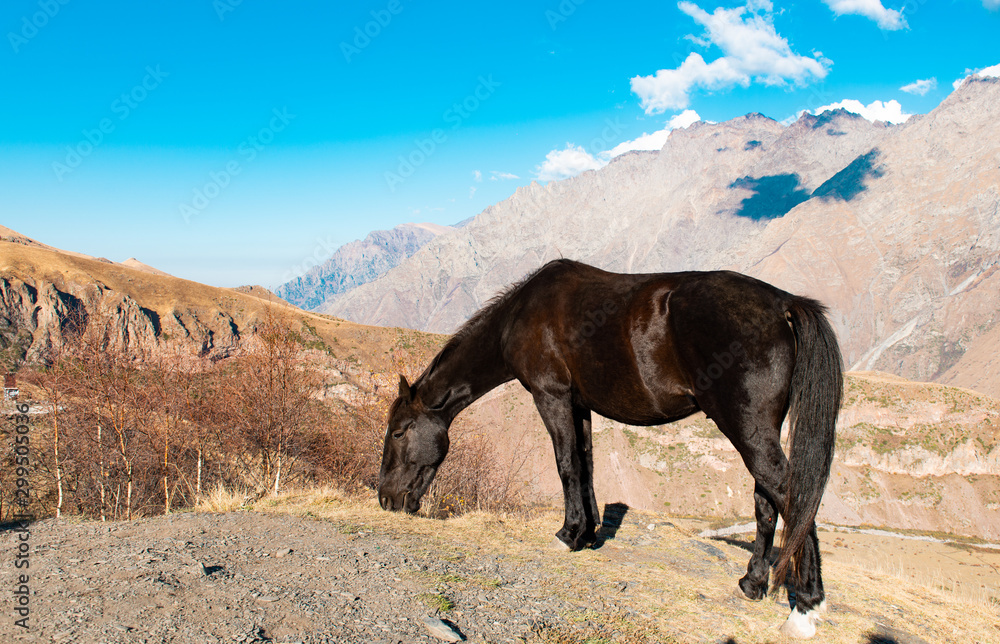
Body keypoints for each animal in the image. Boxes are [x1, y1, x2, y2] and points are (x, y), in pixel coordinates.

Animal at [378, 258, 842, 639]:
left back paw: (805, 609)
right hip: (759, 430)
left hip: (746, 429)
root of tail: (783, 303)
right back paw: (753, 584)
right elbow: (586, 465)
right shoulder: (579, 404)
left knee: (792, 496)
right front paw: (587, 533)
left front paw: (568, 535)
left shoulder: (551, 397)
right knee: (767, 501)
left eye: (398, 432)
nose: (385, 498)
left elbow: (566, 464)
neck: (520, 316)